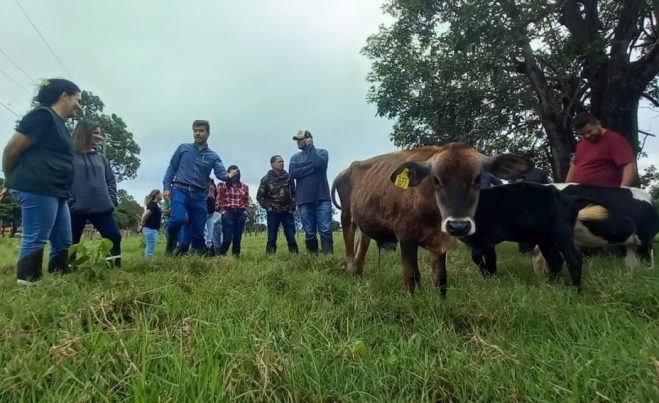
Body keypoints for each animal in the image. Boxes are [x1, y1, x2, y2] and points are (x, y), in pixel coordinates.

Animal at [332, 144, 528, 298]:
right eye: (436, 179)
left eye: (477, 178)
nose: (458, 225)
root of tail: (348, 169)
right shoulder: (405, 236)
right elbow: (412, 276)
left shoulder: (440, 241)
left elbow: (440, 277)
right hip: (347, 218)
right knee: (349, 253)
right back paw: (350, 274)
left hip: (364, 225)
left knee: (360, 252)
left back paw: (358, 276)